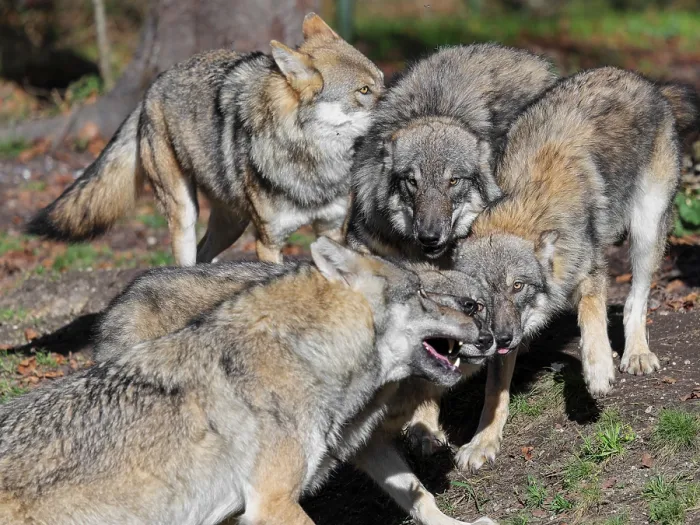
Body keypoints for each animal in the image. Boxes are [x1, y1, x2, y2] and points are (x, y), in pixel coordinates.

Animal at [0, 238, 496, 525]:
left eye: (476, 306)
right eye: (423, 295)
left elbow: (417, 493)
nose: (491, 338)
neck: (307, 355)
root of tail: (117, 304)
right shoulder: (272, 503)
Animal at [26, 14, 384, 265]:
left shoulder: (332, 231)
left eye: (380, 81)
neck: (314, 166)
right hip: (186, 215)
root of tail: (150, 90)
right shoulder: (269, 242)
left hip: (231, 224)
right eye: (364, 91)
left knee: (204, 259)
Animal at [450, 67, 699, 472]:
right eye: (477, 302)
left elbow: (591, 316)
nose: (501, 339)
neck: (524, 209)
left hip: (645, 233)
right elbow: (494, 391)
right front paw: (482, 441)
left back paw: (635, 355)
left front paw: (597, 371)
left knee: (635, 301)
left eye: (518, 286)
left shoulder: (592, 270)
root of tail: (648, 84)